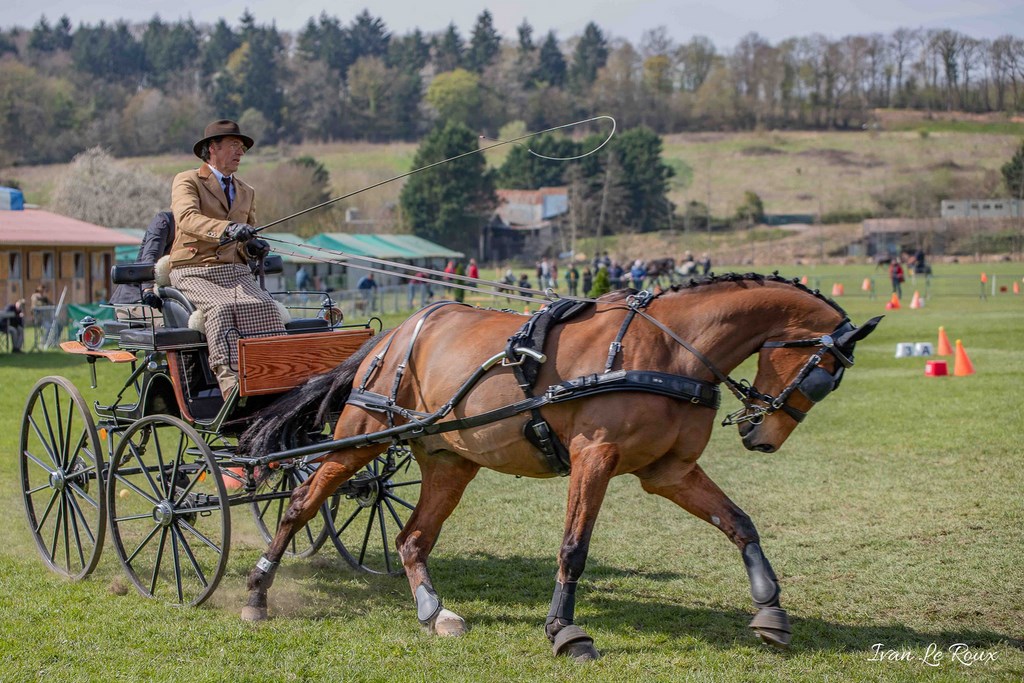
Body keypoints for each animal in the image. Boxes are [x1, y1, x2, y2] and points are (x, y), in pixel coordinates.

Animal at [237, 274, 880, 663]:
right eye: (824, 374)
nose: (760, 436)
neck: (671, 349)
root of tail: (391, 335)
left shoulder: (668, 471)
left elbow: (740, 523)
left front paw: (770, 610)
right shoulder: (595, 457)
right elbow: (574, 547)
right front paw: (566, 631)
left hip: (449, 460)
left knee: (412, 538)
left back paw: (434, 613)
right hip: (361, 436)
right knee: (302, 505)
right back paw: (257, 593)